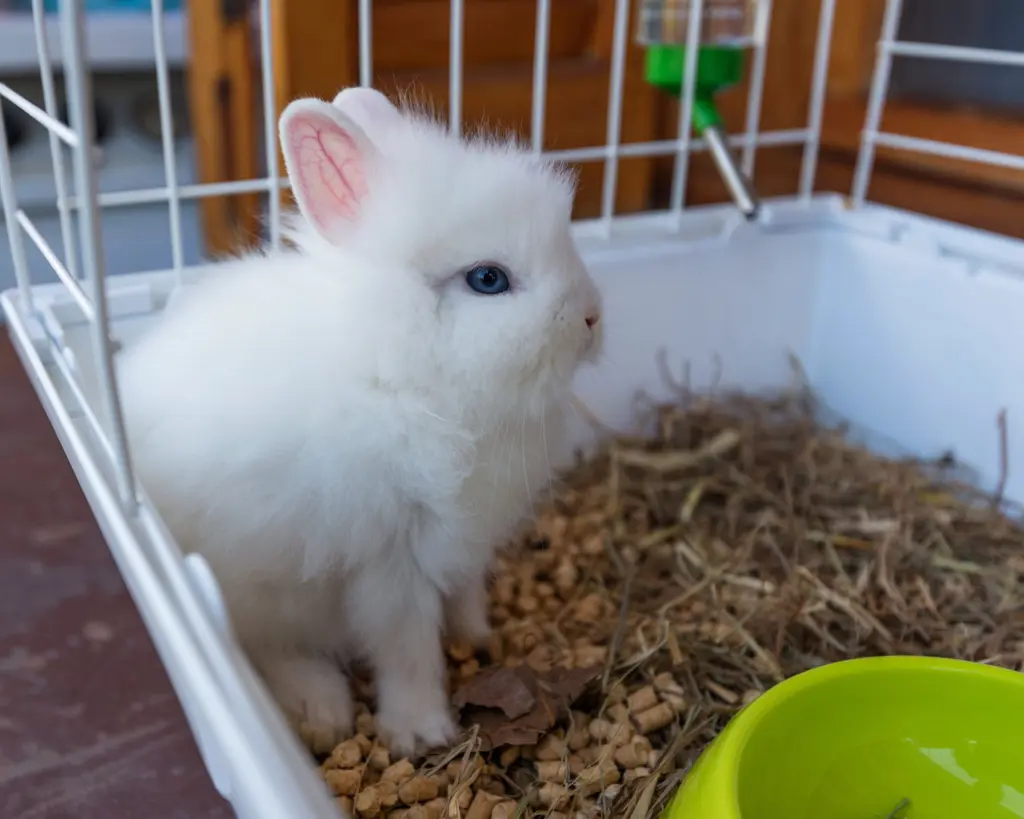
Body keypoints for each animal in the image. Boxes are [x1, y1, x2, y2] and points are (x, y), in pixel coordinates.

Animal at [116, 86, 602, 757]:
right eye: (488, 279)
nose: (592, 317)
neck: (398, 376)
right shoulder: (390, 565)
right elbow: (407, 650)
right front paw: (422, 730)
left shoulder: (461, 544)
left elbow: (464, 594)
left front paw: (478, 636)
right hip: (258, 595)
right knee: (265, 649)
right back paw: (321, 706)